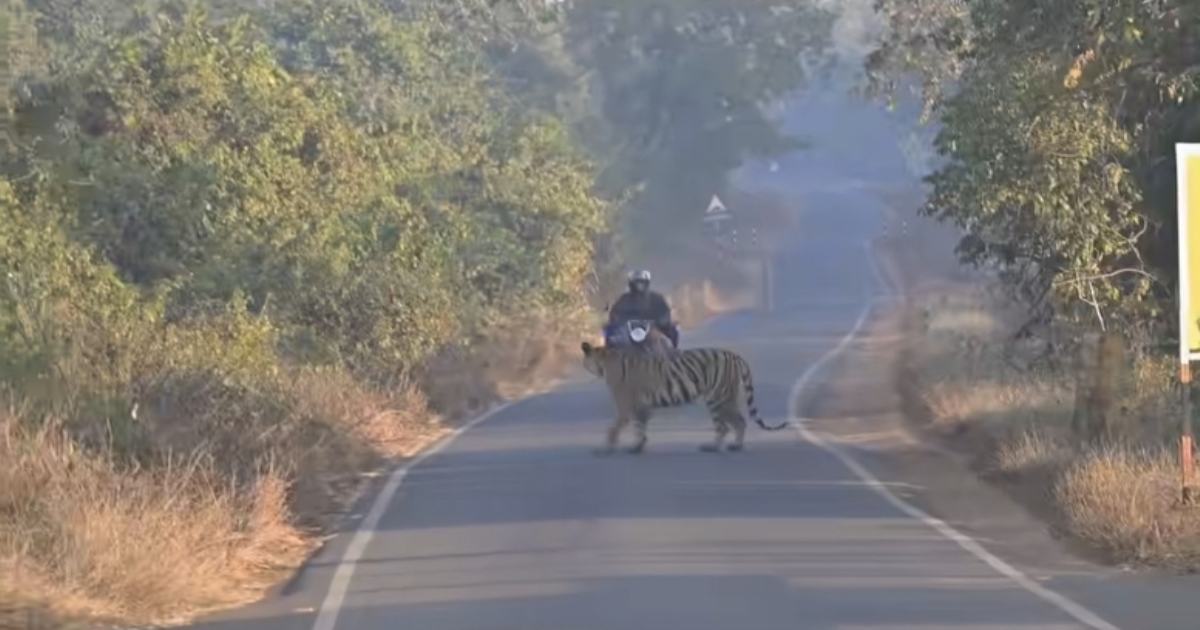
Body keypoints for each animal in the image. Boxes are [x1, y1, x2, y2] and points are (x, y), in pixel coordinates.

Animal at [580, 341, 788, 455]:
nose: (583, 367)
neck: (605, 362)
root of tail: (736, 356)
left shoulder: (625, 407)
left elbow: (613, 430)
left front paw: (604, 451)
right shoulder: (641, 407)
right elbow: (640, 427)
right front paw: (637, 448)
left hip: (717, 399)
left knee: (724, 426)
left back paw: (711, 447)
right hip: (728, 399)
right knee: (740, 422)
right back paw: (735, 446)